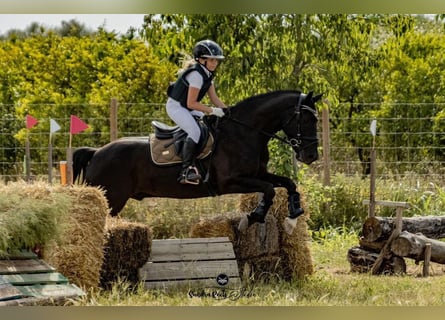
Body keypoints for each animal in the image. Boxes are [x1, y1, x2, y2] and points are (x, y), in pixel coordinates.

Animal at [73, 90, 322, 232]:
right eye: (306, 119)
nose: (311, 156)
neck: (245, 132)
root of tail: (96, 152)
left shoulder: (258, 174)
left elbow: (288, 183)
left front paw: (292, 218)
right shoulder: (230, 182)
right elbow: (269, 190)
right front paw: (251, 218)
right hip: (111, 197)